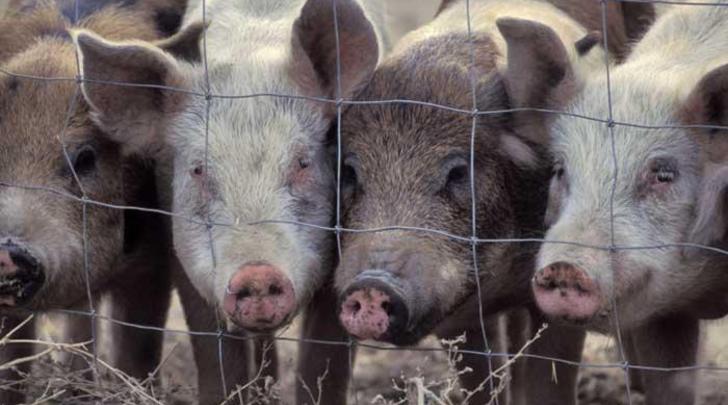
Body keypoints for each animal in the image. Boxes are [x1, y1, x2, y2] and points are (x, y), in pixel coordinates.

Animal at [71, 0, 391, 403]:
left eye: (303, 162)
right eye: (197, 169)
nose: (257, 273)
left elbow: (324, 362)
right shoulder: (185, 254)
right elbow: (216, 354)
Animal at [332, 0, 655, 403]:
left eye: (457, 172)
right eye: (350, 172)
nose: (371, 284)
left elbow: (552, 379)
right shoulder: (456, 312)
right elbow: (482, 382)